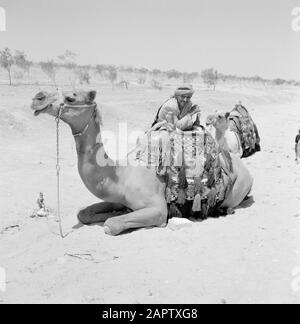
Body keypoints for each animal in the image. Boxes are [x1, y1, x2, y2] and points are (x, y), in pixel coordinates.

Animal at [31, 90, 253, 235]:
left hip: (235, 192)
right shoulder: (118, 196)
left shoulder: (157, 209)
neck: (123, 173)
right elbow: (83, 214)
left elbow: (111, 224)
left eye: (71, 97)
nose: (37, 98)